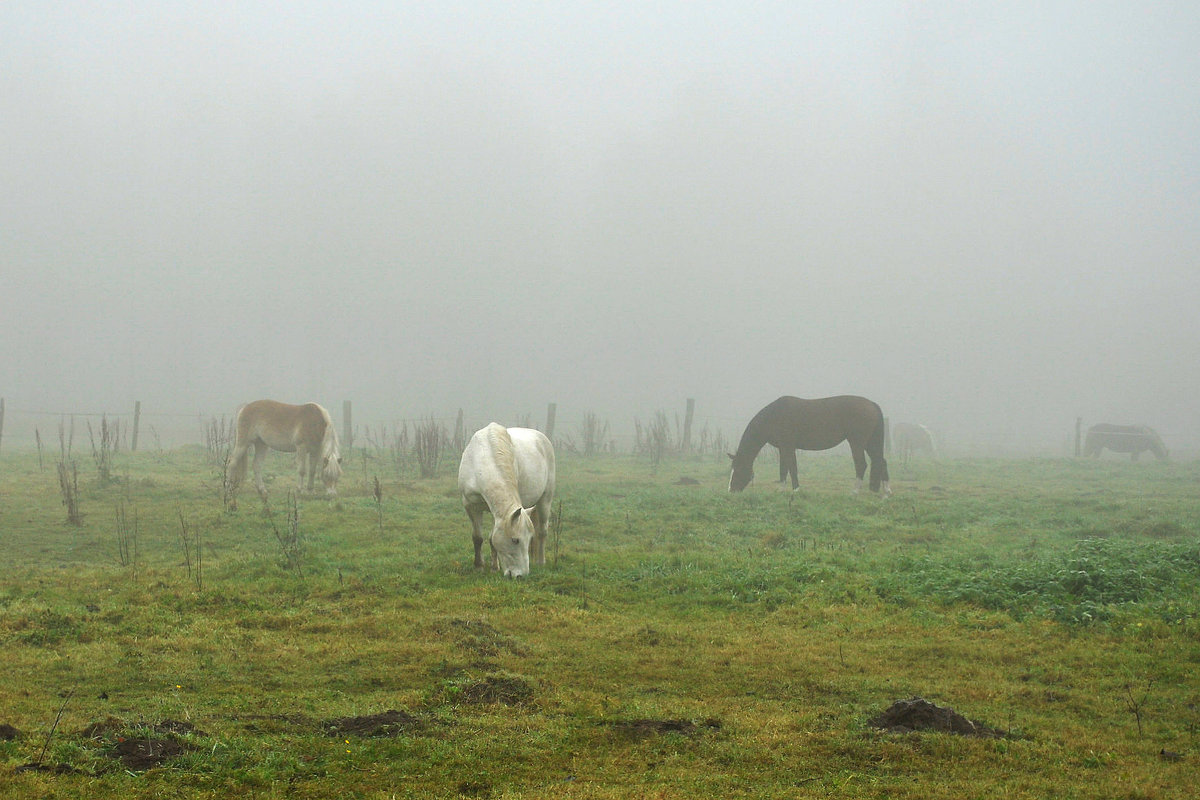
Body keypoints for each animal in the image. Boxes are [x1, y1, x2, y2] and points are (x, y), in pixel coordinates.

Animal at [456, 422, 554, 578]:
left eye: (529, 539)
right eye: (515, 540)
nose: (521, 576)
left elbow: (491, 539)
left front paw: (494, 567)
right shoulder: (471, 505)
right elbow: (478, 537)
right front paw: (479, 566)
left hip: (546, 499)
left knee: (542, 531)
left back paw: (540, 562)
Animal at [724, 393, 888, 494]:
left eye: (737, 469)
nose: (731, 490)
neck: (774, 417)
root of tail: (872, 404)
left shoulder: (788, 447)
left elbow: (791, 468)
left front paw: (796, 490)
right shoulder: (783, 448)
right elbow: (783, 469)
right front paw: (781, 490)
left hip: (857, 443)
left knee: (861, 465)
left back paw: (854, 492)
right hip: (870, 443)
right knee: (881, 461)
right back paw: (886, 492)